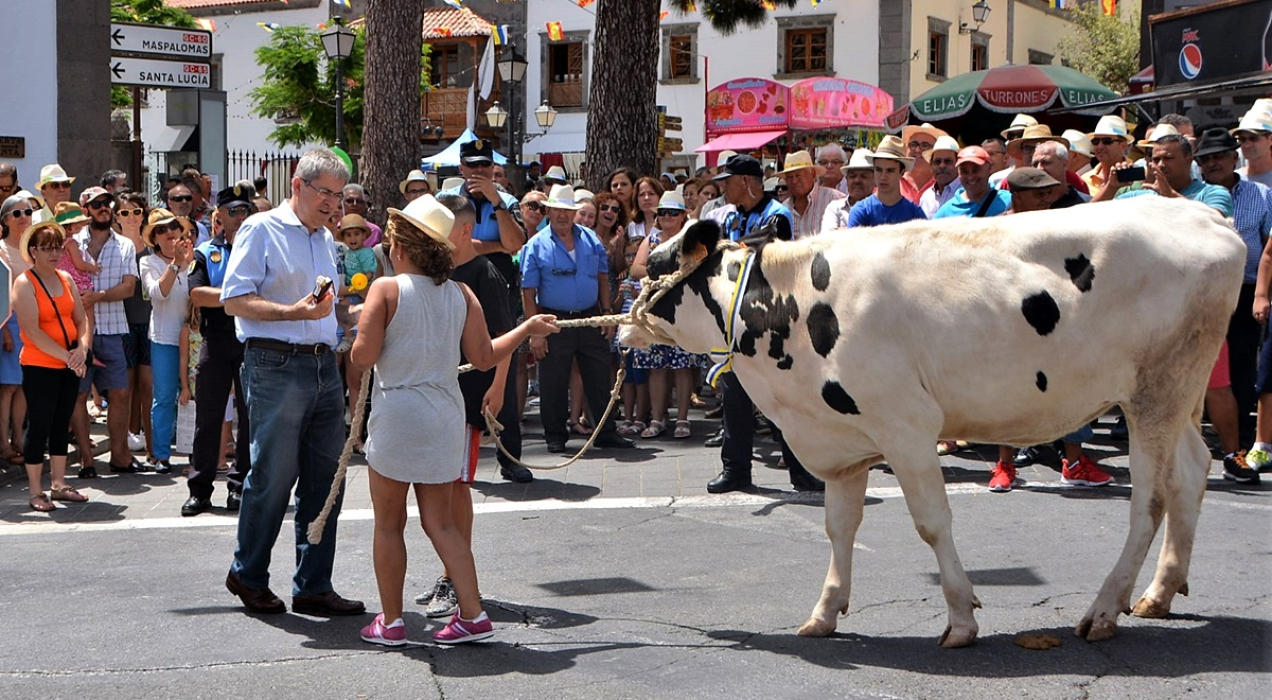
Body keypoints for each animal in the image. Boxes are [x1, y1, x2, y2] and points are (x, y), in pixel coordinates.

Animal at [620, 196, 1246, 646]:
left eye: (655, 266)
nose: (621, 321)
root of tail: (1203, 214)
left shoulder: (907, 425)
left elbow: (931, 523)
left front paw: (961, 619)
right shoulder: (844, 441)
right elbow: (839, 527)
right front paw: (825, 612)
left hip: (1154, 393)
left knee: (1151, 499)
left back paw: (1103, 611)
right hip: (1175, 394)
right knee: (1191, 473)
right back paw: (1159, 594)